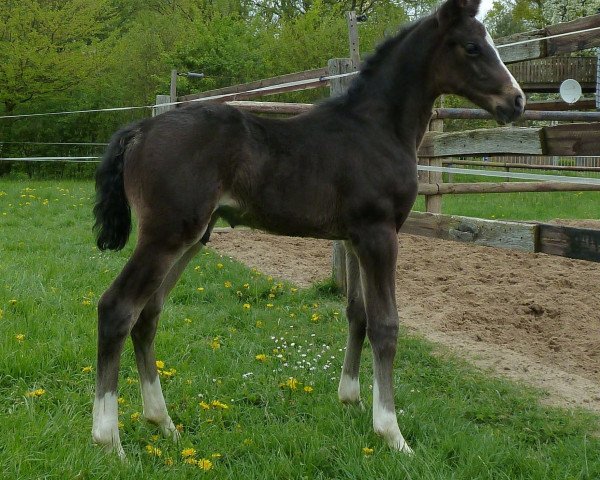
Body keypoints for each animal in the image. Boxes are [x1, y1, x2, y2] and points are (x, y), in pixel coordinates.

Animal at [91, 0, 524, 460]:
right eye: (473, 47)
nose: (516, 101)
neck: (377, 130)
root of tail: (139, 130)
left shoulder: (353, 239)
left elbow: (358, 314)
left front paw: (351, 399)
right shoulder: (380, 234)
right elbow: (386, 324)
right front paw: (392, 433)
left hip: (191, 238)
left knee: (147, 315)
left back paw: (164, 423)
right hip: (166, 235)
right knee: (117, 308)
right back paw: (109, 439)